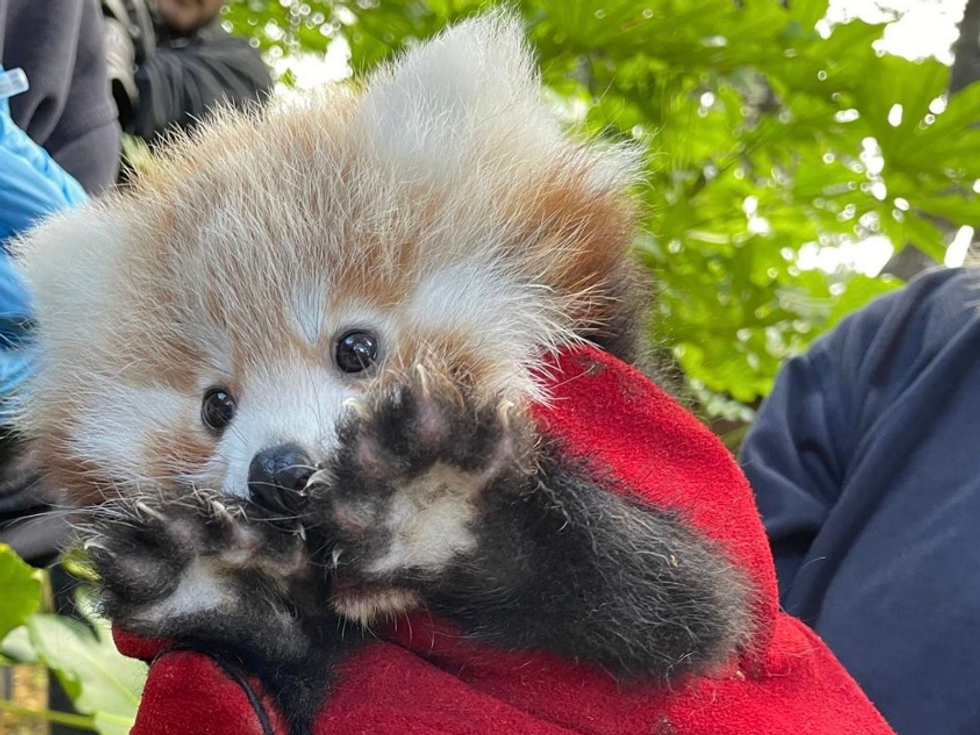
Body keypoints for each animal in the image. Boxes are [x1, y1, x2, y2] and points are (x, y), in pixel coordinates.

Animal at [9, 11, 752, 735]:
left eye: (356, 348)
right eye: (216, 406)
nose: (279, 472)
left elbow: (679, 602)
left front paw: (426, 496)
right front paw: (221, 578)